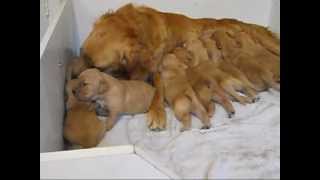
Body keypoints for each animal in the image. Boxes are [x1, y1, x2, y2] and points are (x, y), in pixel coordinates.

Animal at [80, 3, 280, 130]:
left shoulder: (159, 67)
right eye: (81, 54)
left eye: (98, 67)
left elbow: (157, 91)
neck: (139, 30)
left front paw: (157, 113)